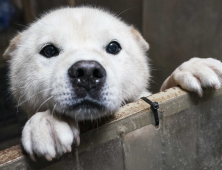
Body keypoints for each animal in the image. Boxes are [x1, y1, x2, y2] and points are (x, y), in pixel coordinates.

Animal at [3, 6, 222, 161]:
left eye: (113, 47)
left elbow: (163, 88)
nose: (87, 72)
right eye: (49, 50)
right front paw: (46, 121)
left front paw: (192, 68)